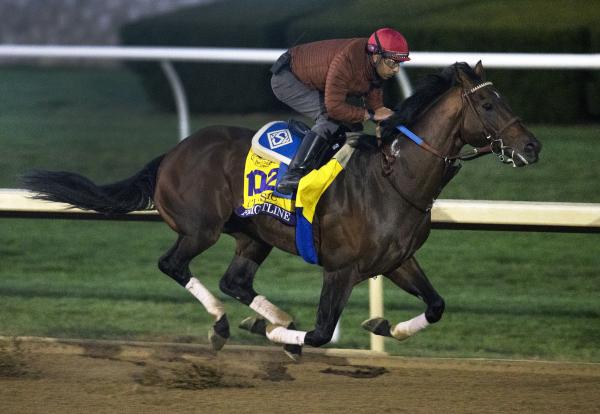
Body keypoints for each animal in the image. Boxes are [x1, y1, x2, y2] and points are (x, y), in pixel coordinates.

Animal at [23, 61, 540, 356]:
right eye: (489, 105)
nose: (533, 146)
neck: (395, 180)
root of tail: (174, 152)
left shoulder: (397, 261)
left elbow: (435, 305)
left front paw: (383, 325)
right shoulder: (341, 269)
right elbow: (321, 332)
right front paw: (279, 338)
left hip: (253, 236)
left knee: (235, 281)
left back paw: (267, 317)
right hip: (199, 228)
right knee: (174, 265)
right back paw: (227, 324)